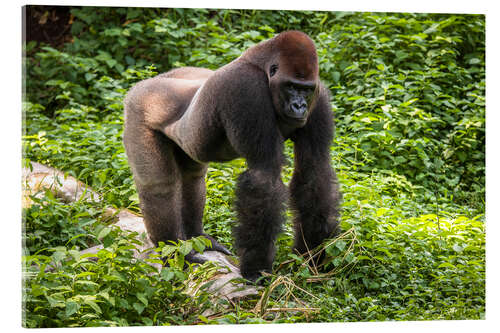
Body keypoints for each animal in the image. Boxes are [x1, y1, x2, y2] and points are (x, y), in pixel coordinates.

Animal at [122, 31, 340, 280]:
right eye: (291, 87)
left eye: (306, 89)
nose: (299, 106)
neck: (261, 65)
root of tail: (147, 82)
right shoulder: (245, 87)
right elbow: (263, 178)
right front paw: (256, 268)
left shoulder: (319, 97)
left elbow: (314, 172)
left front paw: (313, 254)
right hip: (140, 105)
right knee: (158, 186)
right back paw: (175, 254)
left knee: (192, 177)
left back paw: (196, 237)